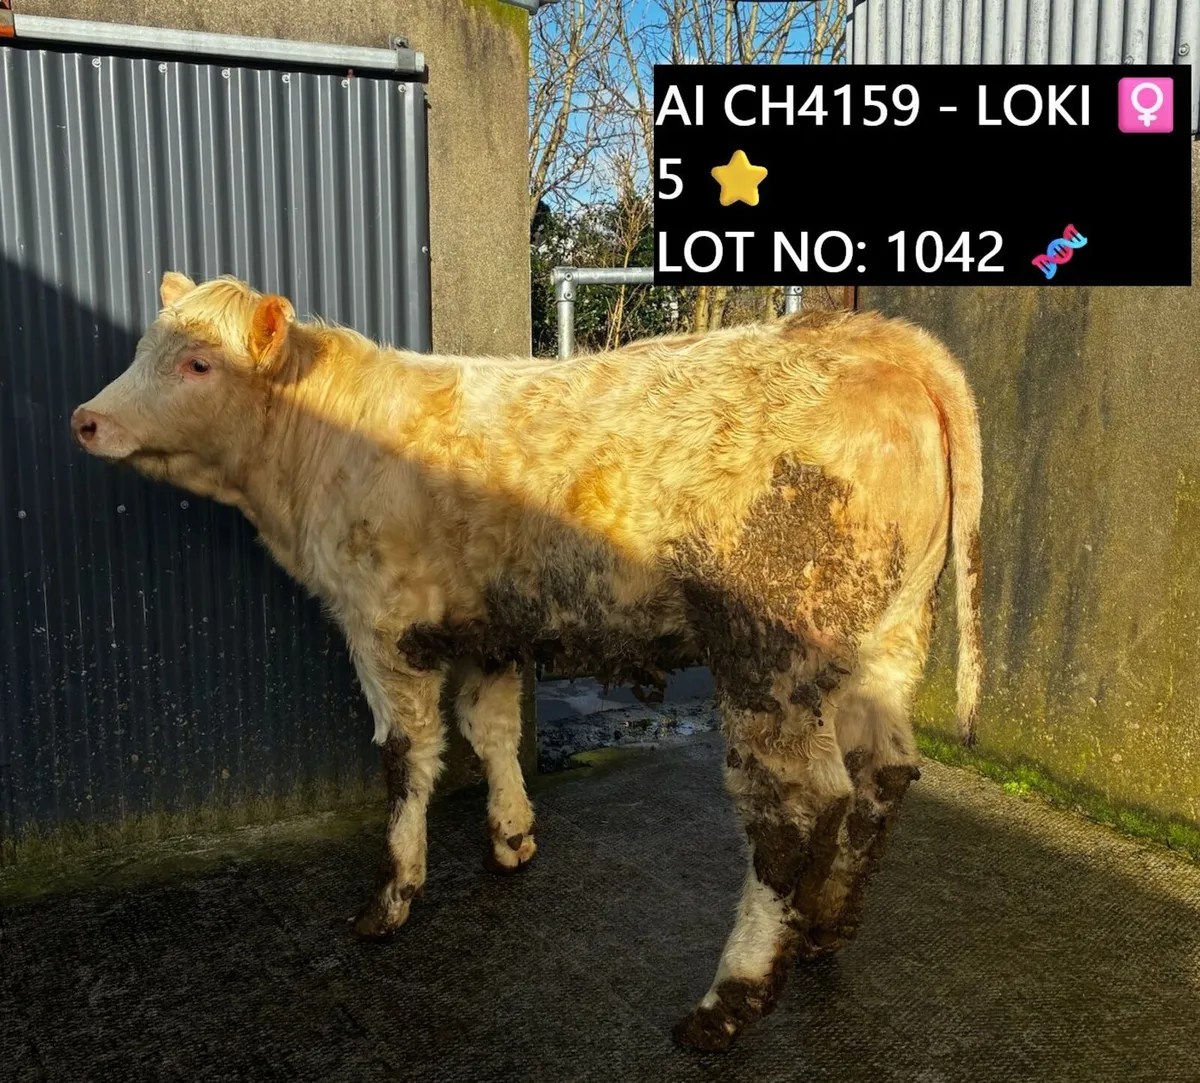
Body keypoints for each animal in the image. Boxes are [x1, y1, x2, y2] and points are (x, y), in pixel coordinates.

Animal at [71, 272, 983, 1052]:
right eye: (145, 347)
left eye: (198, 362)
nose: (85, 418)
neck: (316, 455)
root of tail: (880, 336)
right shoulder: (490, 630)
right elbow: (491, 729)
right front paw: (512, 836)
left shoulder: (383, 626)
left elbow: (407, 758)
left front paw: (392, 898)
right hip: (887, 640)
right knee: (883, 771)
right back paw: (826, 927)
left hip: (772, 654)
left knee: (798, 806)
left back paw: (729, 1002)